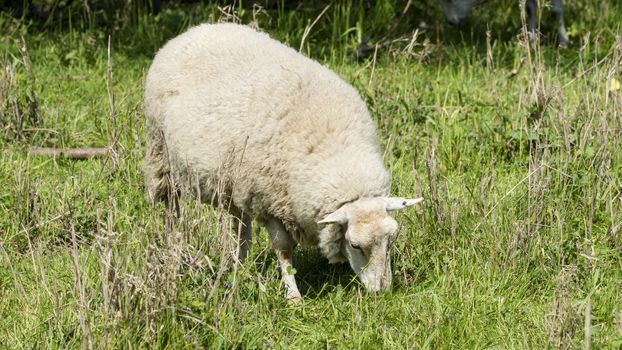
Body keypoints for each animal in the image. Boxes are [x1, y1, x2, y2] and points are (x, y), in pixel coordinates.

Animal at [143, 22, 424, 300]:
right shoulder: (269, 202)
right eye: (355, 245)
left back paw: (239, 268)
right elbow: (283, 248)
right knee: (171, 208)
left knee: (240, 228)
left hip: (235, 182)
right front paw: (293, 295)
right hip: (161, 152)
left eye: (393, 237)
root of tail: (196, 29)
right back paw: (173, 249)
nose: (382, 291)